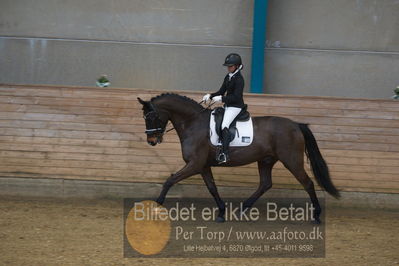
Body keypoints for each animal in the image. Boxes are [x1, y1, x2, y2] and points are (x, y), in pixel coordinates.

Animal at [138, 92, 340, 223]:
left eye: (152, 116)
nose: (151, 141)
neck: (193, 123)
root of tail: (296, 125)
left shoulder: (194, 164)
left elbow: (170, 180)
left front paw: (156, 204)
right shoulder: (203, 166)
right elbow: (212, 187)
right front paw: (221, 212)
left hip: (292, 161)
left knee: (308, 183)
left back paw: (316, 215)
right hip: (265, 160)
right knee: (265, 184)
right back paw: (241, 209)